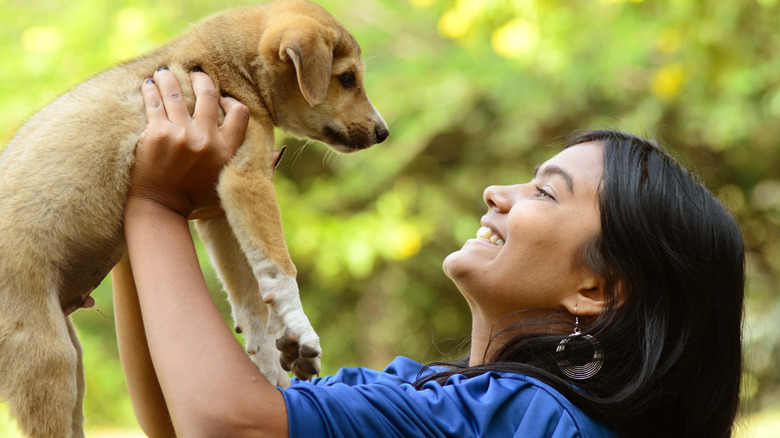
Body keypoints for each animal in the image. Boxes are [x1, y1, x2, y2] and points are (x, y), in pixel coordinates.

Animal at [0, 0, 388, 436]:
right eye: (347, 78)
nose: (384, 132)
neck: (224, 70)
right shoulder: (246, 181)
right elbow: (280, 267)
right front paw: (300, 330)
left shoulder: (218, 212)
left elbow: (250, 298)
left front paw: (269, 369)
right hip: (48, 358)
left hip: (72, 357)